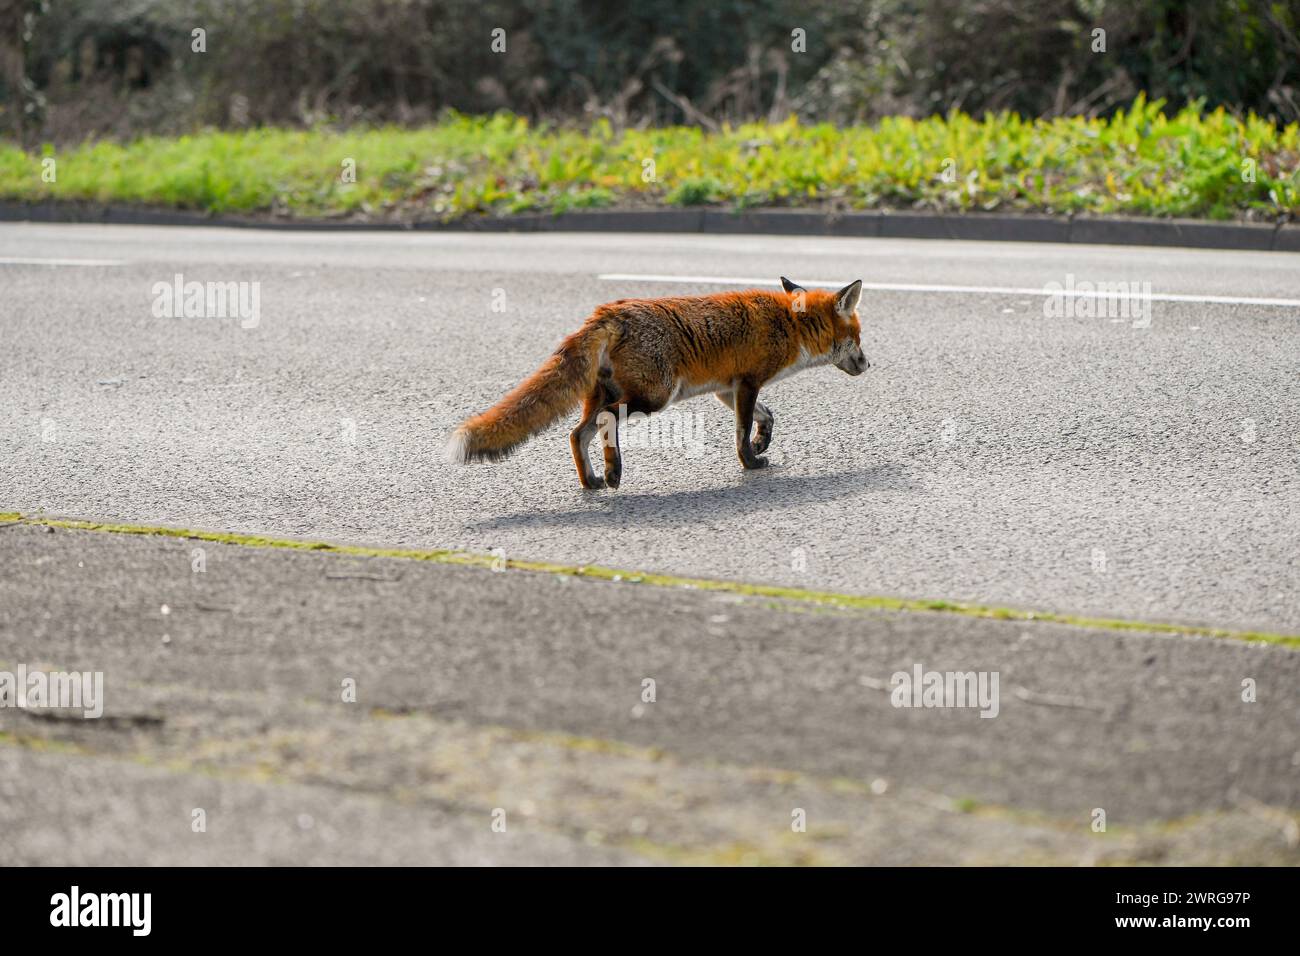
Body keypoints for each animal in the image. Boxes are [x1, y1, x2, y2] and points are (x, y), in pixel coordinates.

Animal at [445, 277, 868, 489]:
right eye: (859, 338)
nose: (869, 364)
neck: (790, 324)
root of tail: (607, 312)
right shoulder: (747, 382)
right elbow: (743, 431)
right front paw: (750, 461)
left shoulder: (726, 388)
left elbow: (767, 416)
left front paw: (763, 441)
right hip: (654, 397)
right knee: (606, 422)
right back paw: (613, 473)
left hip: (609, 396)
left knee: (577, 434)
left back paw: (594, 480)